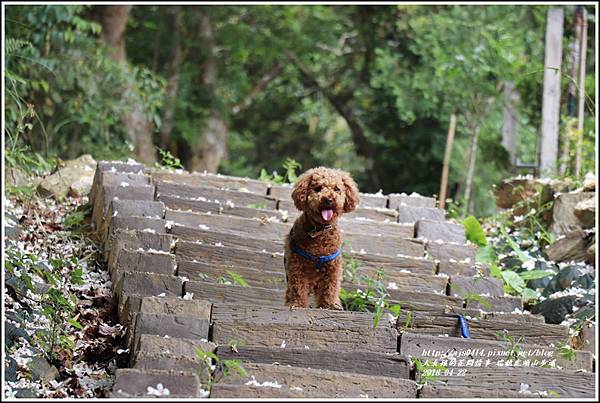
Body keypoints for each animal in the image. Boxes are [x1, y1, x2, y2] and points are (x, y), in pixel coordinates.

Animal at [284, 166, 358, 310]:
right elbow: (298, 287)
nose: (328, 199)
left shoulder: (332, 267)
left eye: (337, 189)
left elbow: (330, 287)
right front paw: (297, 304)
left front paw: (330, 305)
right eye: (318, 188)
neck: (319, 231)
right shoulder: (296, 265)